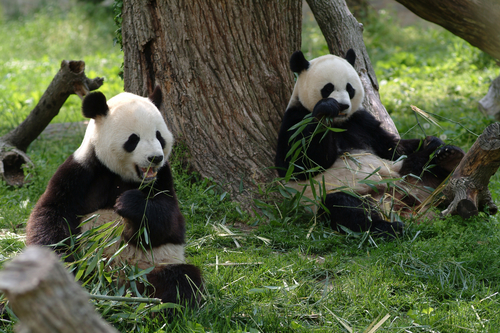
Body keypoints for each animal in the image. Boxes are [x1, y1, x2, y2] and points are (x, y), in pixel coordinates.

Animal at [25, 87, 201, 306]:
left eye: (159, 136)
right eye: (133, 139)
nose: (155, 158)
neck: (122, 175)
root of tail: (117, 283)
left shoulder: (162, 179)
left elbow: (169, 222)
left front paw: (128, 203)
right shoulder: (80, 171)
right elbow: (52, 214)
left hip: (155, 266)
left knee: (181, 279)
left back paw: (155, 304)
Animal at [276, 50, 462, 236]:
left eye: (350, 88)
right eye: (328, 88)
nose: (343, 106)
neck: (339, 123)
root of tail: (395, 202)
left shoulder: (361, 120)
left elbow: (390, 147)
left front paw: (432, 141)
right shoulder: (296, 117)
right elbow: (298, 163)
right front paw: (325, 111)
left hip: (409, 179)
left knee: (428, 171)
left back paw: (448, 157)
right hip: (333, 194)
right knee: (345, 207)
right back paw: (388, 228)